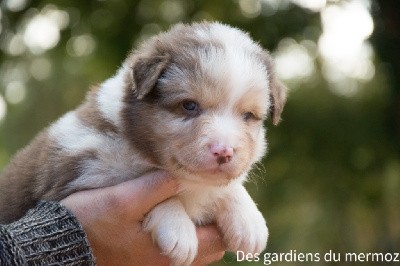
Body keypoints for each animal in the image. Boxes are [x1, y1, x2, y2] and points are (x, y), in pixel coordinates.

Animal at [0, 21, 288, 264]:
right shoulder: (79, 173)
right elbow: (151, 188)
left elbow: (228, 187)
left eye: (248, 116)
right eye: (189, 105)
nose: (224, 152)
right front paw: (177, 229)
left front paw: (249, 221)